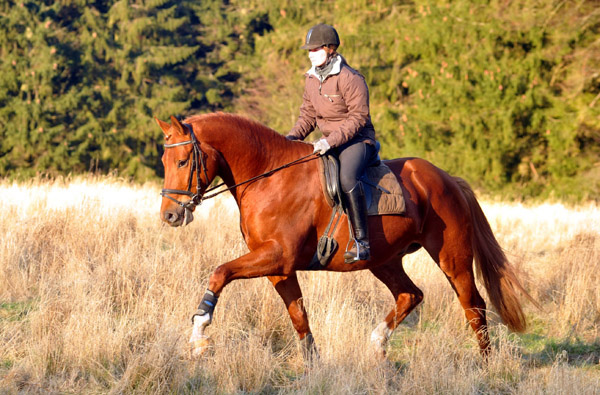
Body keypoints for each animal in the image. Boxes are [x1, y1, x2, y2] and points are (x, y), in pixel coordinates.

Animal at [156, 113, 536, 360]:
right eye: (164, 159)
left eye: (184, 160)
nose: (170, 215)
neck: (267, 177)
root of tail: (447, 179)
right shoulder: (279, 268)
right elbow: (298, 315)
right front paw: (313, 366)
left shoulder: (276, 256)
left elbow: (219, 273)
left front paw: (198, 336)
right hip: (384, 260)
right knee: (410, 295)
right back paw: (378, 342)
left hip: (451, 257)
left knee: (474, 305)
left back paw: (485, 365)